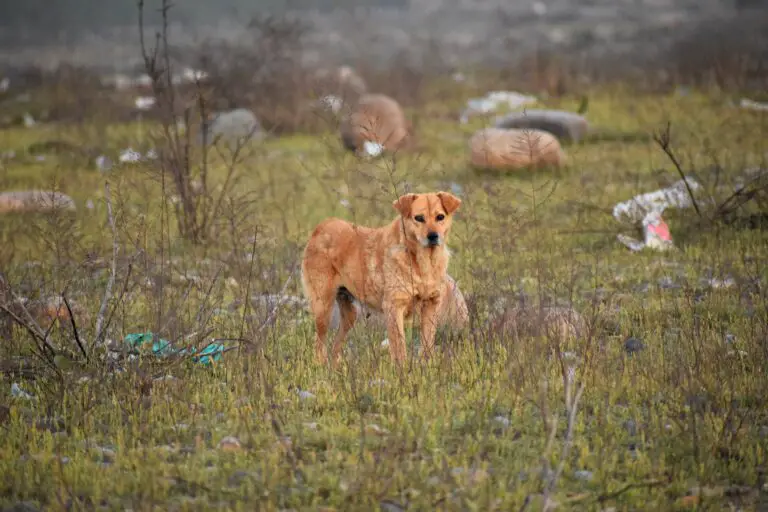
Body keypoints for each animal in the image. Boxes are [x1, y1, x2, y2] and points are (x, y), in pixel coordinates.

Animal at [302, 191, 462, 364]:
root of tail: (322, 226)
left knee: (335, 346)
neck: (423, 262)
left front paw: (427, 367)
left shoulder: (431, 306)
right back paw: (320, 366)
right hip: (323, 309)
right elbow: (400, 349)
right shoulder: (394, 308)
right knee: (319, 344)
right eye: (419, 218)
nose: (433, 236)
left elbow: (427, 345)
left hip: (350, 314)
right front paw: (403, 369)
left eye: (440, 217)